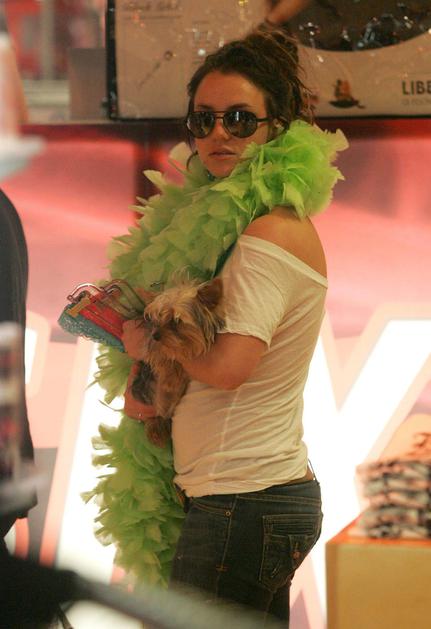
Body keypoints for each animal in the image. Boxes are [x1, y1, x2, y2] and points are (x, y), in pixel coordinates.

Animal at [131, 277, 224, 447]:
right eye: (157, 318)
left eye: (176, 320)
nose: (155, 335)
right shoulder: (154, 348)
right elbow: (163, 356)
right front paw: (170, 377)